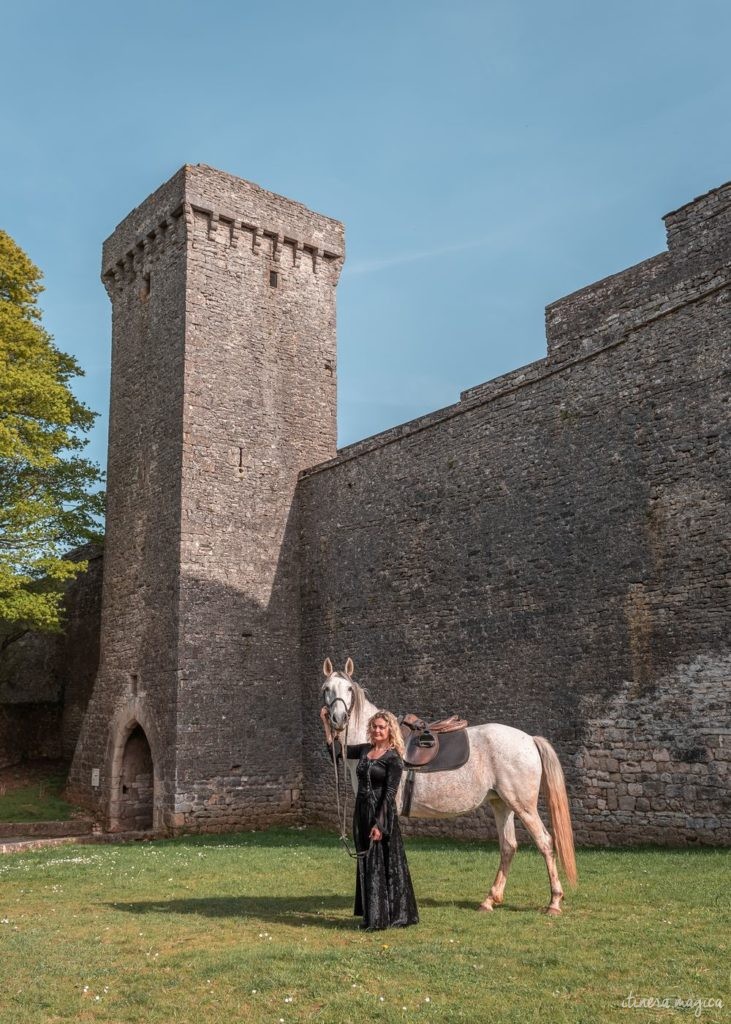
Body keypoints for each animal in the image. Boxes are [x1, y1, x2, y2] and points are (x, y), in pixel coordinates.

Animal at [319, 659, 573, 917]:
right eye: (326, 688)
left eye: (349, 689)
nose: (338, 719)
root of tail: (530, 739)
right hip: (502, 804)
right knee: (509, 846)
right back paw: (489, 900)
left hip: (523, 806)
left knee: (544, 843)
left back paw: (554, 902)